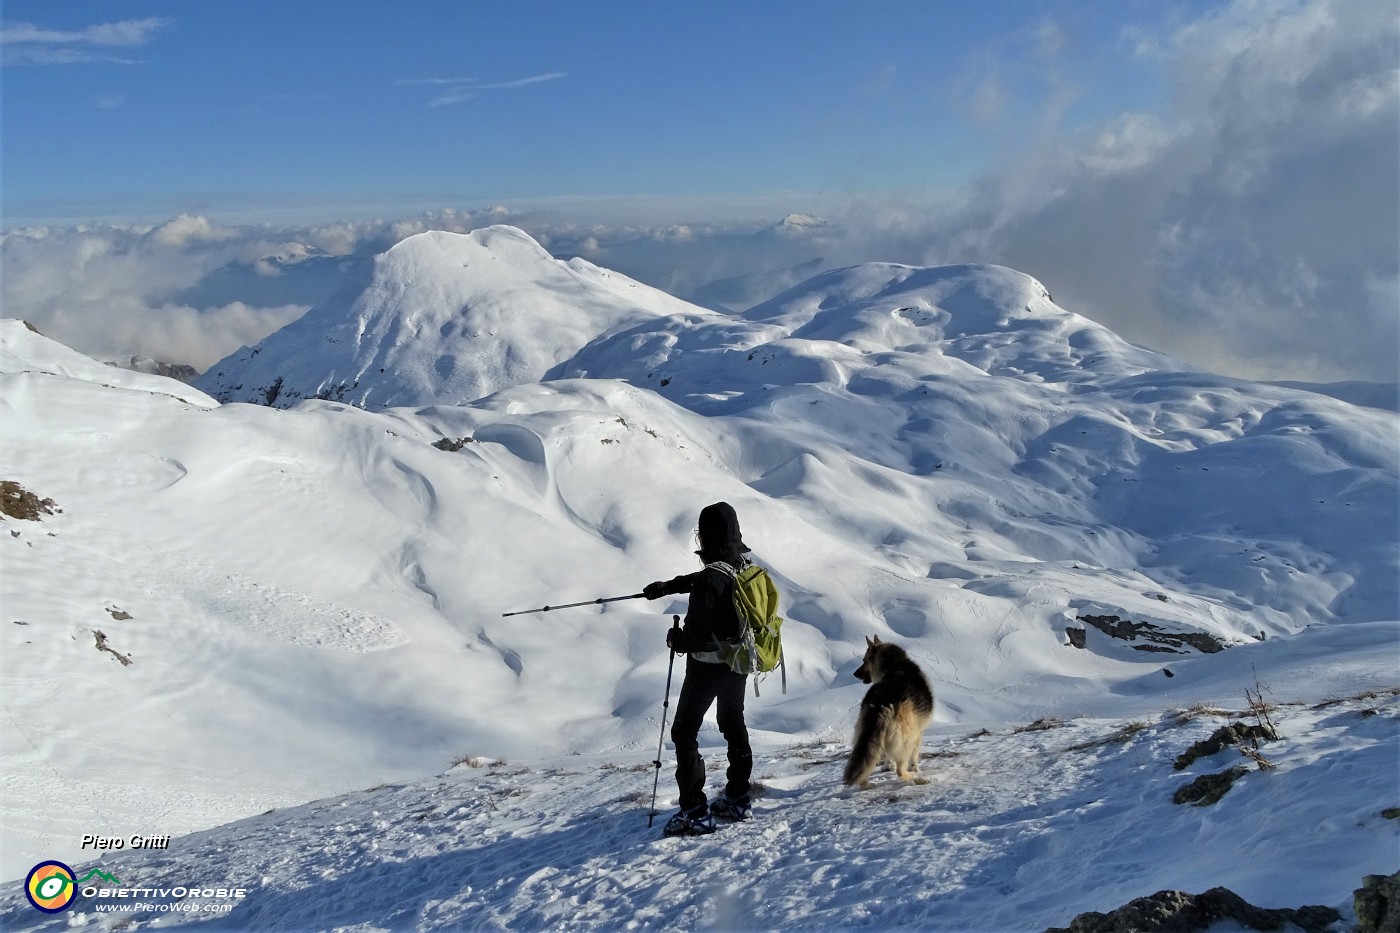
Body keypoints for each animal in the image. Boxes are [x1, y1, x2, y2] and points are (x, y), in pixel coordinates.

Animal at [845, 633, 935, 784]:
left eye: (864, 660)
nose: (854, 674)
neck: (894, 665)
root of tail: (881, 702)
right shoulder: (918, 732)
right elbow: (914, 756)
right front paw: (915, 768)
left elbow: (888, 756)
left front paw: (887, 766)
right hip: (906, 740)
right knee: (900, 770)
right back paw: (912, 776)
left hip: (864, 737)